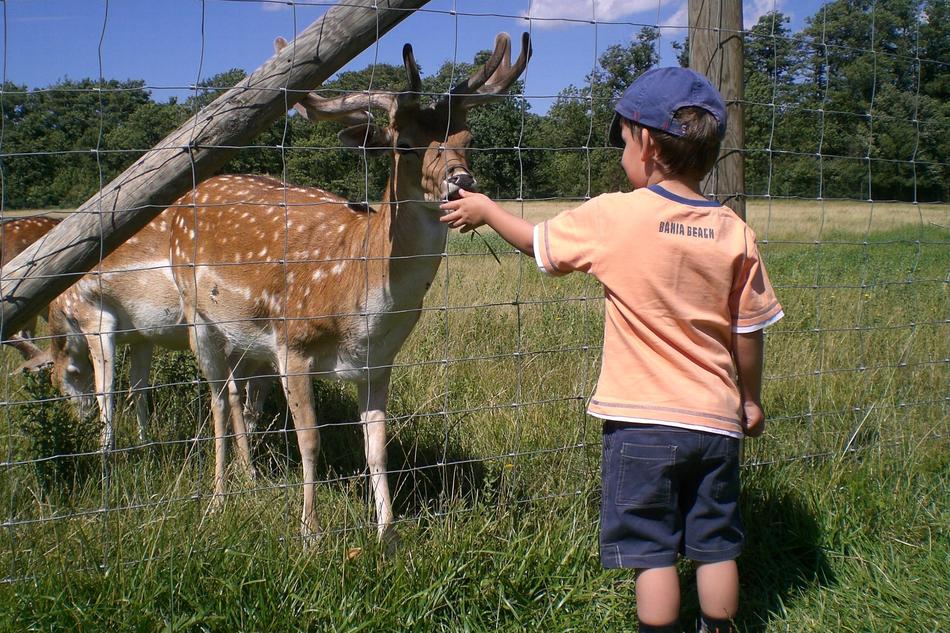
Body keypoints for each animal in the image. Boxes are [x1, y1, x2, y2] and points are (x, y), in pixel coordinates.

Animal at [167, 32, 530, 543]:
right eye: (405, 145)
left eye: (468, 140)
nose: (462, 181)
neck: (360, 304)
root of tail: (188, 195)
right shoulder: (293, 344)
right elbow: (310, 441)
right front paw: (310, 533)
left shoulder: (378, 363)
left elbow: (376, 448)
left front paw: (388, 535)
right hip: (197, 315)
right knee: (218, 399)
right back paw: (219, 500)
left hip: (247, 338)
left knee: (240, 399)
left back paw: (250, 479)